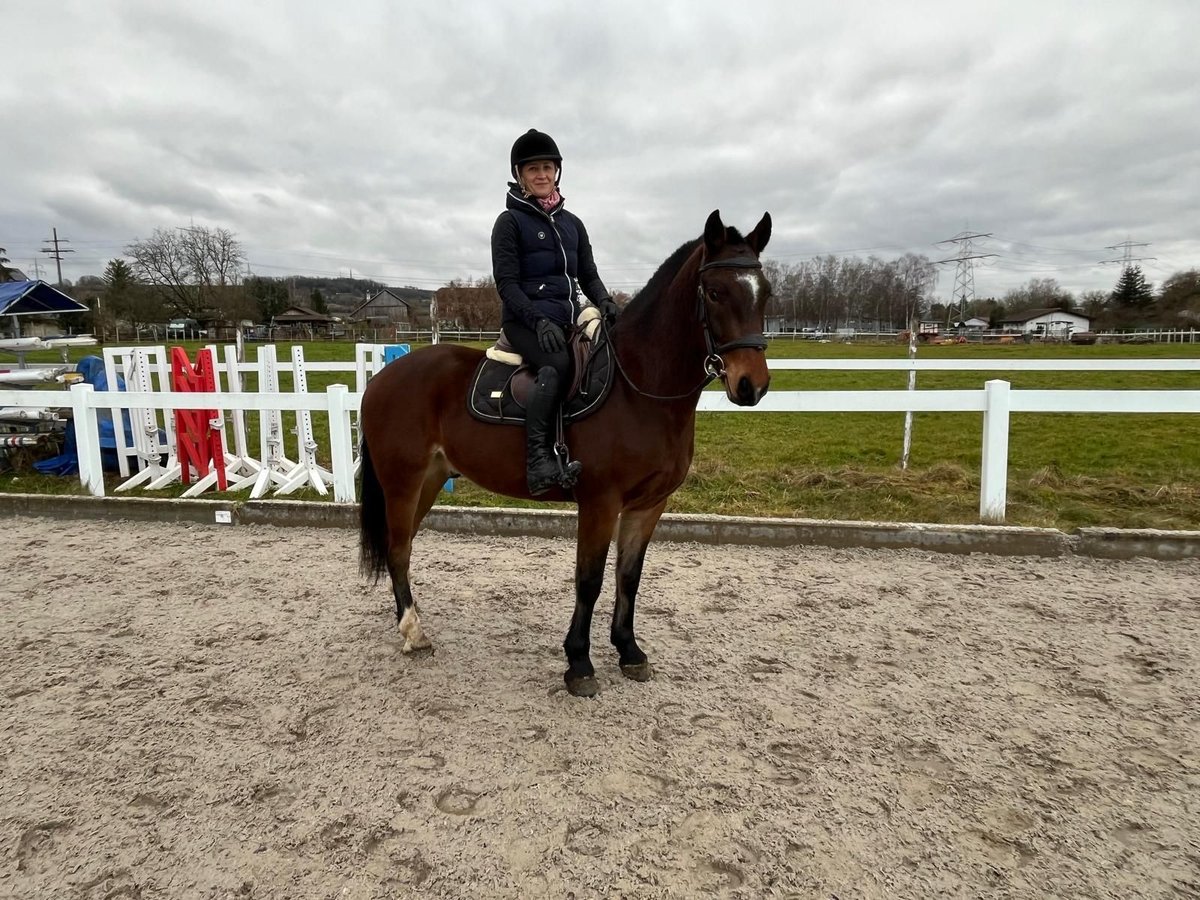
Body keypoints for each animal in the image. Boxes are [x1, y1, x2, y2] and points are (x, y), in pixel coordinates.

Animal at [357, 210, 768, 696]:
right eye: (716, 292)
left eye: (766, 293)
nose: (752, 385)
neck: (638, 389)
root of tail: (382, 378)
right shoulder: (600, 502)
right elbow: (588, 580)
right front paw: (579, 663)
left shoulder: (649, 505)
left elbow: (629, 576)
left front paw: (629, 651)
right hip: (402, 481)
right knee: (398, 548)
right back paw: (413, 631)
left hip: (430, 479)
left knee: (401, 547)